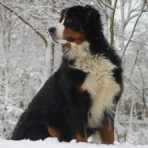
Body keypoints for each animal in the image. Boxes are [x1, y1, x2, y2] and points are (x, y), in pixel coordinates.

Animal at [11, 5, 122, 144]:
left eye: (69, 20)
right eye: (61, 20)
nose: (50, 29)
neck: (89, 56)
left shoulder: (108, 101)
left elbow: (109, 135)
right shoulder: (75, 102)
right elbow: (81, 135)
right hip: (41, 124)